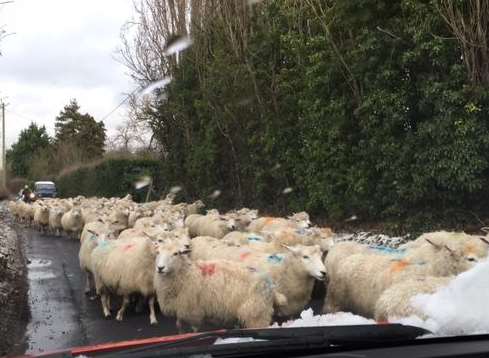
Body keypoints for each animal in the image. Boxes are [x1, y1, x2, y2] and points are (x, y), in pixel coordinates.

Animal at [153, 239, 286, 332]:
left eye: (176, 253)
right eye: (157, 252)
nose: (160, 268)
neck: (186, 274)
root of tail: (270, 285)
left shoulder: (193, 312)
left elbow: (194, 329)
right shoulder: (181, 309)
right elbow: (179, 326)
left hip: (256, 314)